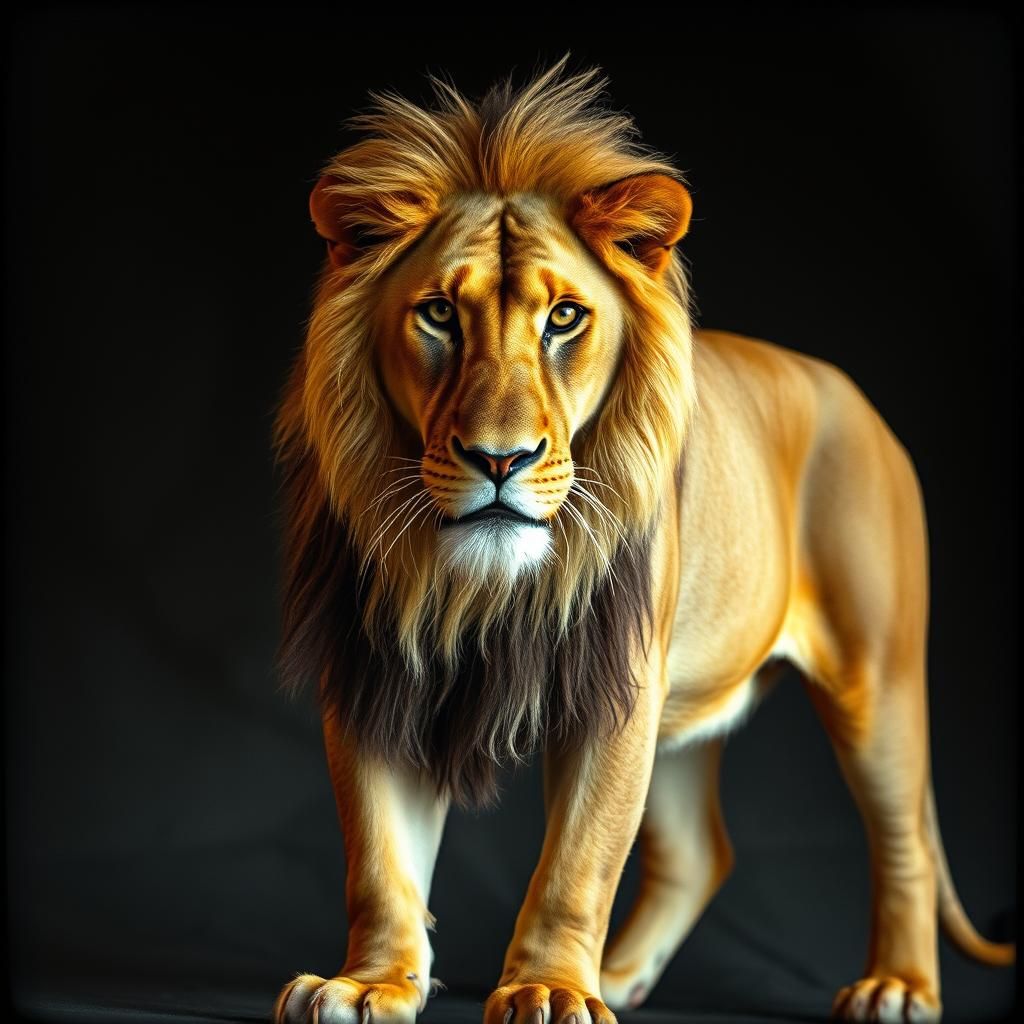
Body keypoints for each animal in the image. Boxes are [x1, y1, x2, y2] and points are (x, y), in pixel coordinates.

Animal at [270, 55, 1013, 1024]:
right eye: (438, 315)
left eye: (564, 319)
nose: (499, 459)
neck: (476, 584)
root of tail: (854, 398)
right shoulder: (373, 671)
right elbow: (379, 858)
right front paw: (370, 983)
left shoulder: (614, 685)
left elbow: (578, 861)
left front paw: (548, 990)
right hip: (687, 711)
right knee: (702, 852)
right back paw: (622, 978)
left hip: (874, 675)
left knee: (904, 842)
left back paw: (897, 986)